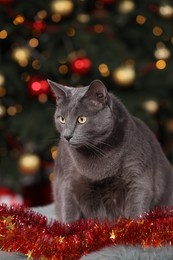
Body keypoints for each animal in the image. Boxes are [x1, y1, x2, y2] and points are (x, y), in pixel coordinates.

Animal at [48, 79, 173, 223]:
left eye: (81, 119)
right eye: (61, 119)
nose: (67, 136)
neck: (97, 151)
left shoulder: (138, 176)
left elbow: (136, 209)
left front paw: (135, 227)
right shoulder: (67, 181)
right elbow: (68, 211)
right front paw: (69, 228)